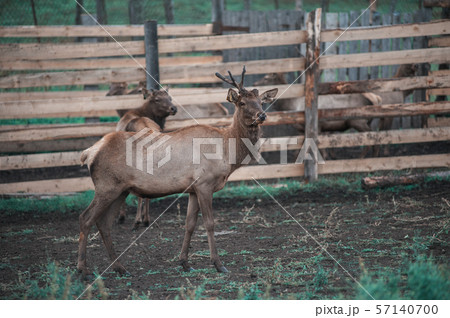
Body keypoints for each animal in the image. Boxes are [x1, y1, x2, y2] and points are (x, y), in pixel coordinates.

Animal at [79, 66, 280, 274]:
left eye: (260, 102)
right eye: (242, 102)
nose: (262, 115)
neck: (227, 152)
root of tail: (89, 152)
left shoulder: (193, 189)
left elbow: (189, 224)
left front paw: (184, 262)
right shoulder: (205, 183)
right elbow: (209, 224)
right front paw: (218, 264)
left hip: (121, 190)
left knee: (104, 223)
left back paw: (120, 267)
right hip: (106, 186)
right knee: (85, 218)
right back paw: (82, 269)